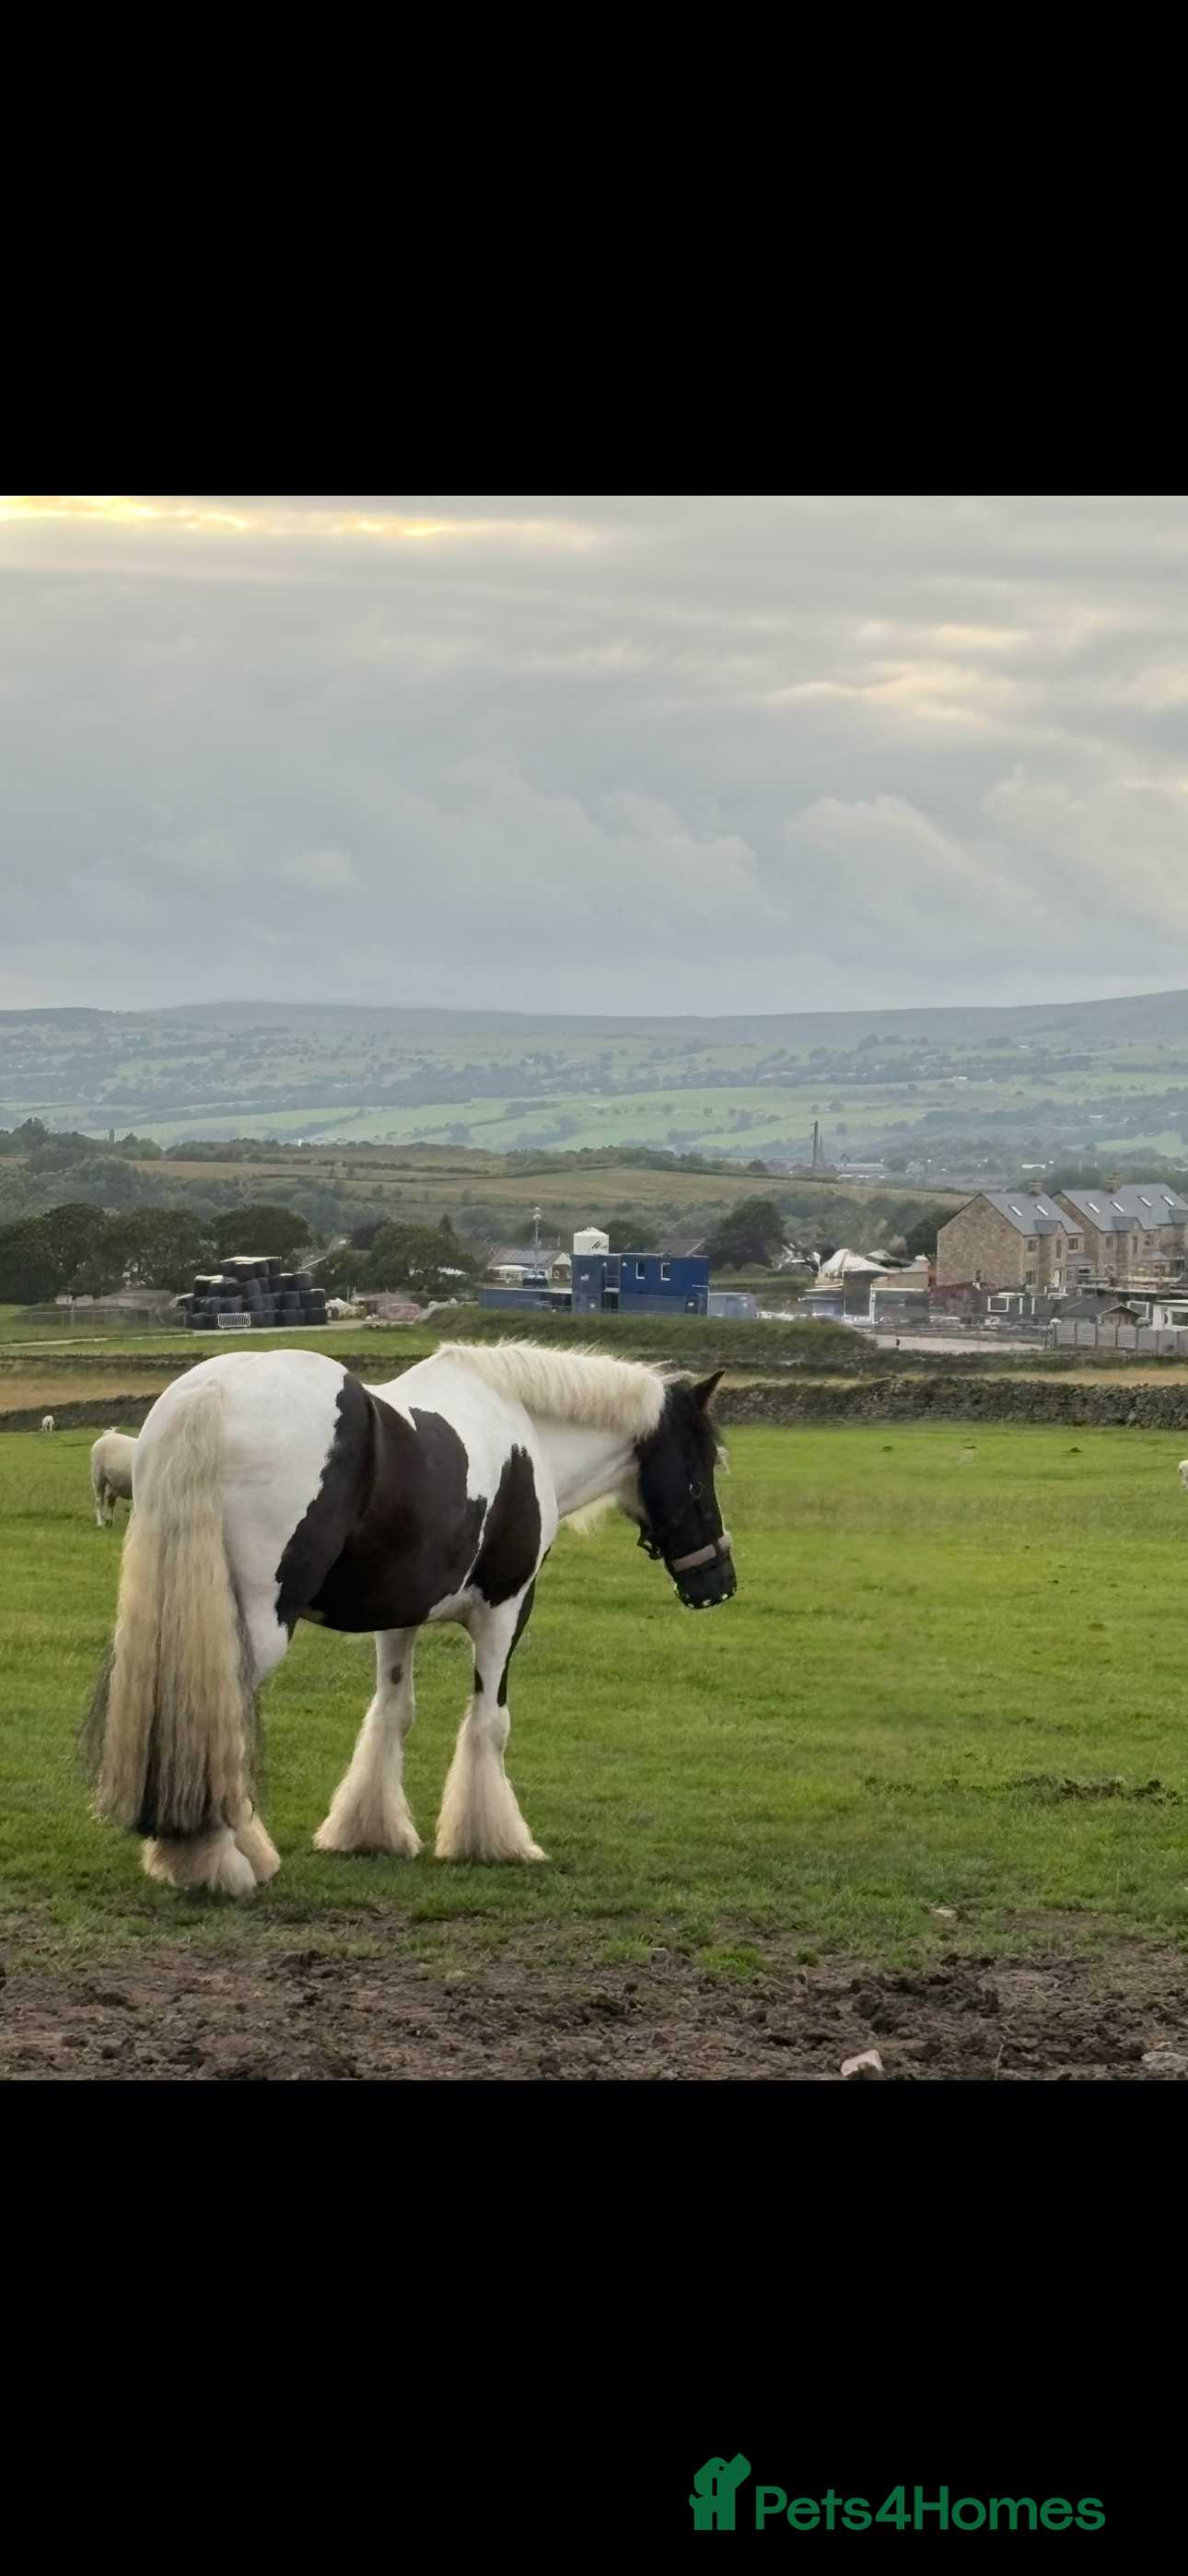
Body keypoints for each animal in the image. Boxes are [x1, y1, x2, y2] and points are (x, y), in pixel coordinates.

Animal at [83, 1340, 736, 1896]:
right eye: (701, 1469)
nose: (719, 1584)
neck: (526, 1432)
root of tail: (212, 1391)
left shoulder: (400, 1615)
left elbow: (391, 1714)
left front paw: (368, 1832)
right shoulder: (505, 1609)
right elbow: (490, 1724)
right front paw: (492, 1841)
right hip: (253, 1629)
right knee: (220, 1718)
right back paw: (223, 1859)